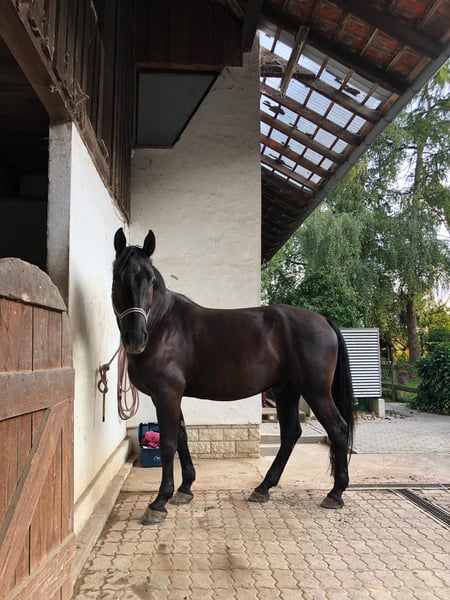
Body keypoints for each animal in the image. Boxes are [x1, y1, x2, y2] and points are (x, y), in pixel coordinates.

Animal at [112, 228, 355, 525]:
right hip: (287, 390)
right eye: (118, 277)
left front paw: (159, 502)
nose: (136, 339)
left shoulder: (166, 394)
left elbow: (168, 443)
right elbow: (182, 437)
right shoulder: (173, 396)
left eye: (149, 279)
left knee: (338, 429)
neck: (162, 324)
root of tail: (324, 321)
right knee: (290, 434)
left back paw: (335, 493)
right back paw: (263, 488)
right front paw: (185, 489)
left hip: (316, 392)